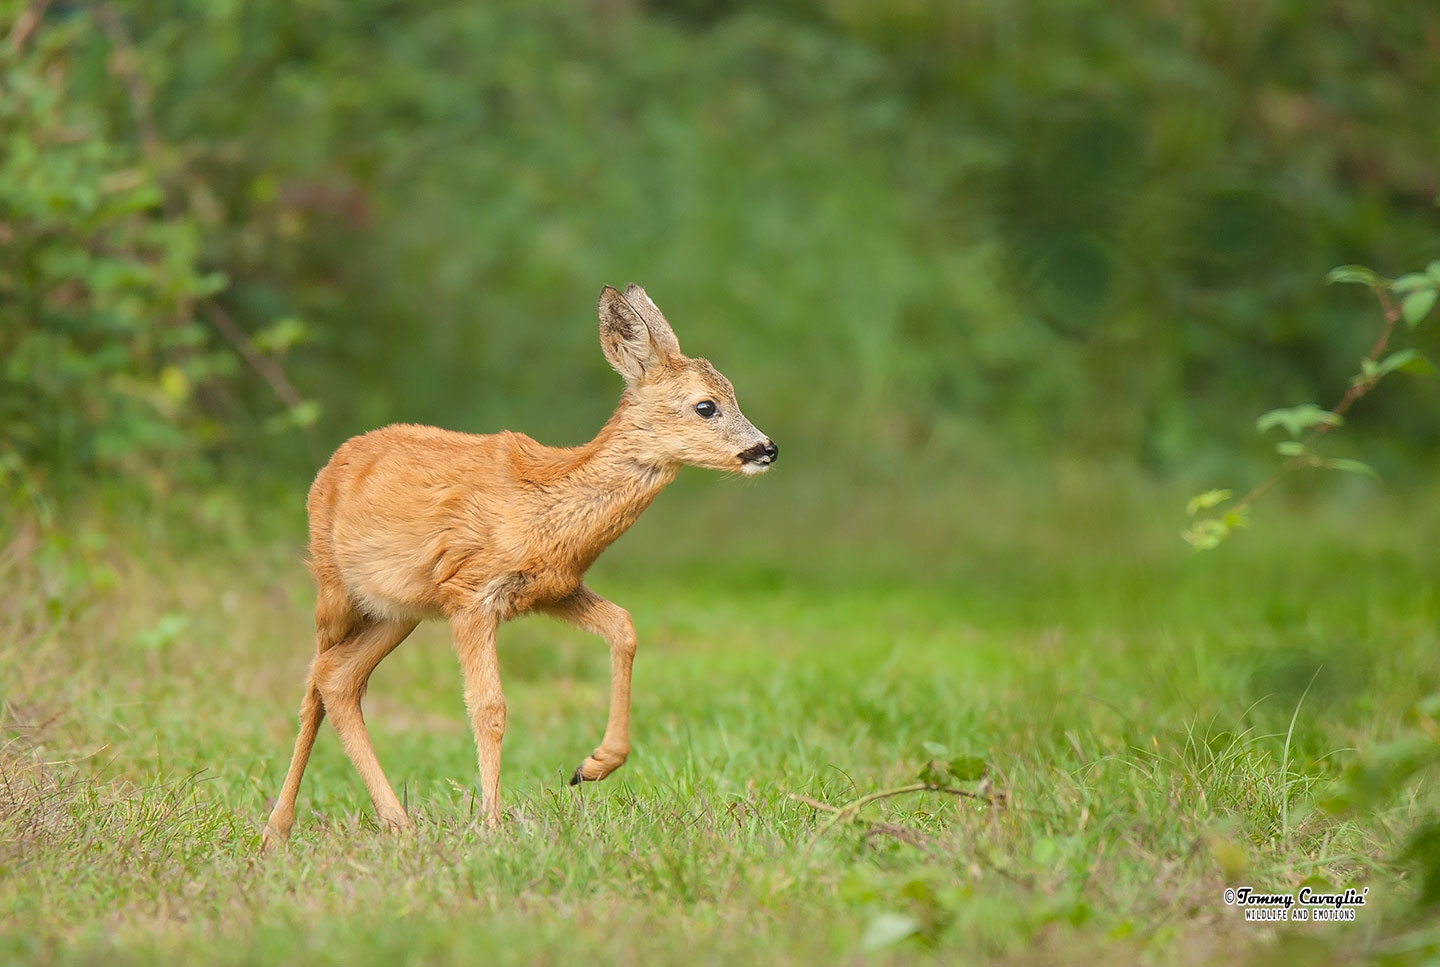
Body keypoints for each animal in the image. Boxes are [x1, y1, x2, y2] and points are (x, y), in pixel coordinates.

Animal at [259, 284, 777, 850]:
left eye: (733, 394)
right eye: (706, 406)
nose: (767, 449)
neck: (545, 503)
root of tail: (329, 468)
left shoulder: (552, 587)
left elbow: (624, 626)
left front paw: (592, 766)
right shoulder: (471, 594)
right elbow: (489, 707)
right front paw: (491, 823)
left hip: (399, 610)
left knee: (337, 678)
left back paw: (396, 821)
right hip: (333, 587)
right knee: (313, 683)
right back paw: (277, 829)